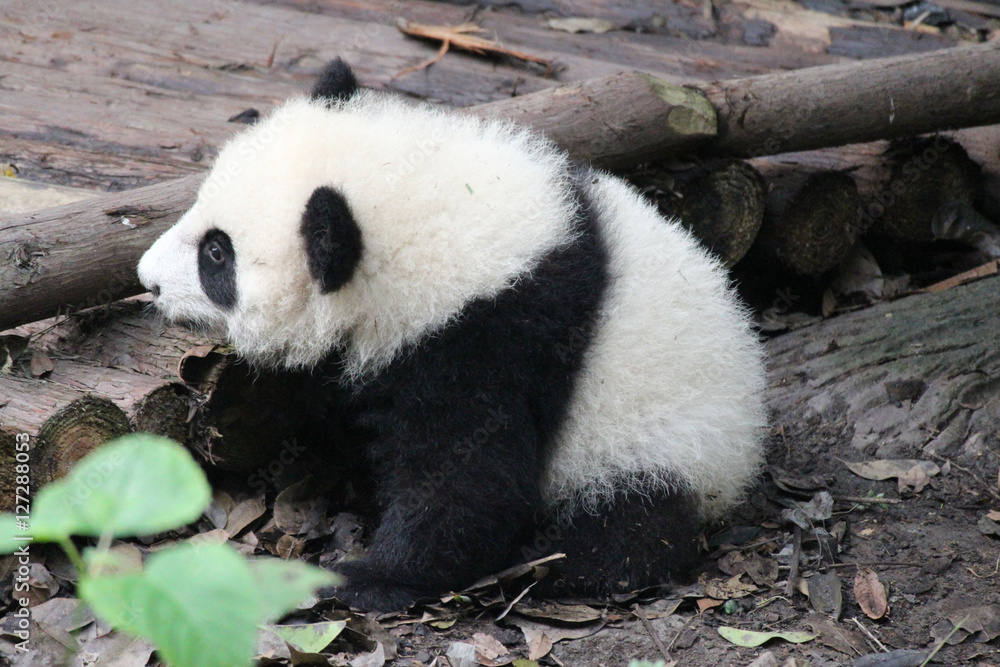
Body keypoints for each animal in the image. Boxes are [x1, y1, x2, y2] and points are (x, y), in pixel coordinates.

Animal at [137, 59, 767, 612]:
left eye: (216, 255)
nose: (148, 281)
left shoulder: (489, 335)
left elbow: (466, 474)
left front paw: (368, 577)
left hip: (661, 439)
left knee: (630, 524)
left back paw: (554, 564)